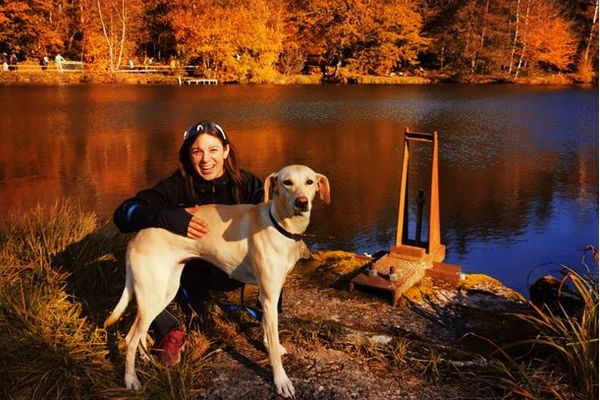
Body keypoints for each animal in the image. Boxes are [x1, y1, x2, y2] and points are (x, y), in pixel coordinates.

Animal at [103, 165, 328, 396]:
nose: (302, 202)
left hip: (165, 291)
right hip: (153, 294)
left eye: (310, 181)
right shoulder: (269, 296)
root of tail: (134, 238)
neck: (278, 224)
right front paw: (281, 380)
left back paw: (146, 359)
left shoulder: (268, 295)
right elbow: (273, 342)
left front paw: (269, 344)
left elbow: (267, 328)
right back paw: (131, 379)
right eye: (287, 182)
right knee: (130, 338)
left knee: (140, 333)